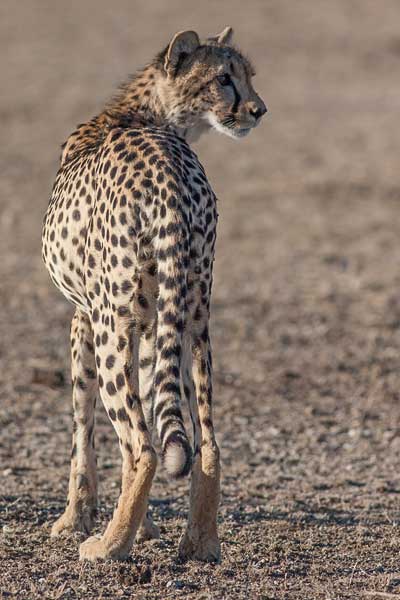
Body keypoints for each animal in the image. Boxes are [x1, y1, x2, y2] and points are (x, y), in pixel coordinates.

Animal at [41, 28, 266, 564]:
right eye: (225, 78)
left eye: (246, 75)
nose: (258, 109)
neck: (151, 116)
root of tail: (168, 171)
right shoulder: (151, 325)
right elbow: (161, 415)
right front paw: (144, 529)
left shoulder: (84, 315)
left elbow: (82, 424)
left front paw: (72, 520)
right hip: (196, 318)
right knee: (206, 441)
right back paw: (200, 544)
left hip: (112, 322)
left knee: (140, 445)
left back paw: (107, 546)